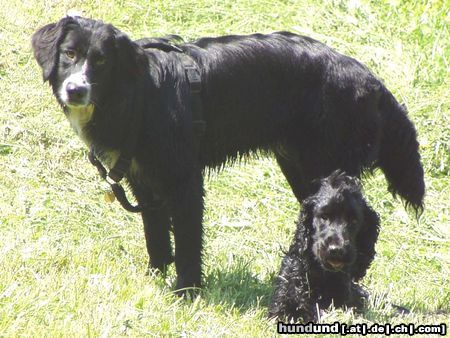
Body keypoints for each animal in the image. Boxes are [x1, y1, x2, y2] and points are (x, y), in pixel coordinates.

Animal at [33, 14, 424, 292]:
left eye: (101, 62)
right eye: (70, 54)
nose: (75, 90)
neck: (138, 95)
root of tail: (371, 79)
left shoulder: (185, 181)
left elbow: (188, 241)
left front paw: (187, 291)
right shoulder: (144, 182)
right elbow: (155, 237)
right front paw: (155, 278)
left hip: (327, 164)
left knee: (364, 216)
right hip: (302, 169)